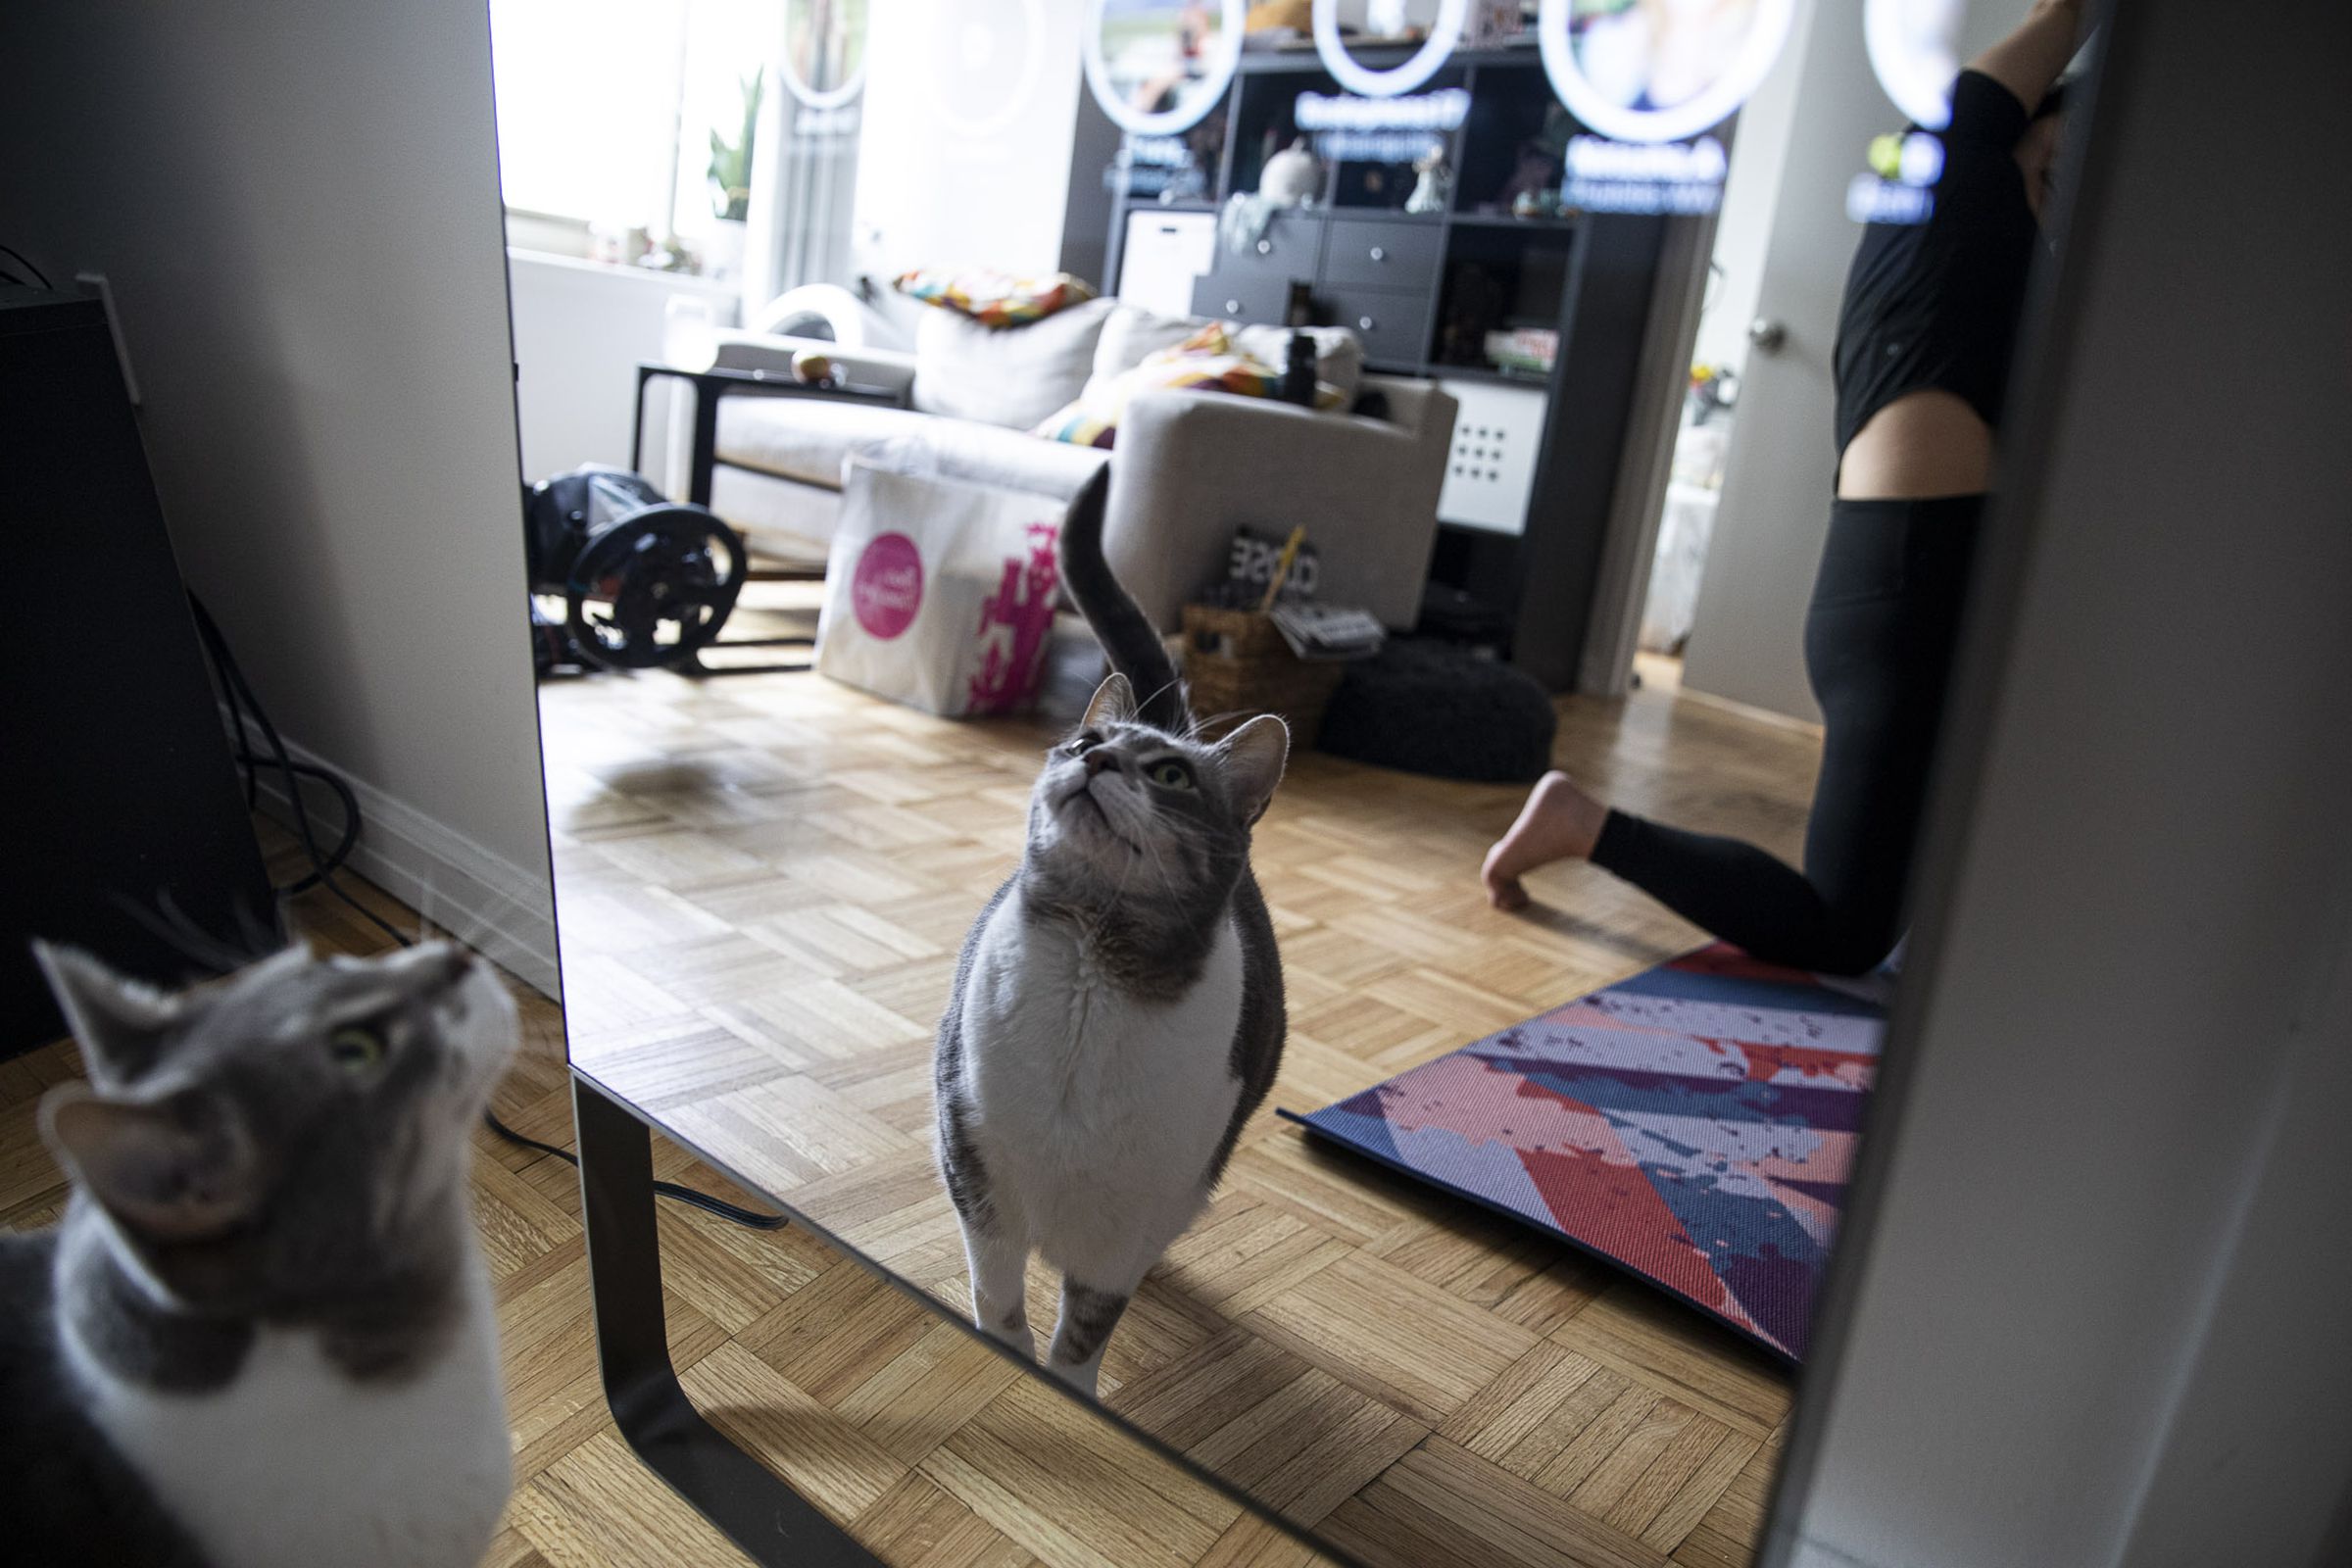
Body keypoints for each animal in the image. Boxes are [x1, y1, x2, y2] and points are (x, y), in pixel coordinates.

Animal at [926, 469, 1289, 1400]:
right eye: (1084, 740)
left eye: (1169, 775)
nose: (1094, 757)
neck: (1090, 976)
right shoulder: (975, 1166)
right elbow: (998, 1297)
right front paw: (1011, 1358)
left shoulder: (1128, 1227)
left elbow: (1085, 1332)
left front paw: (1068, 1393)